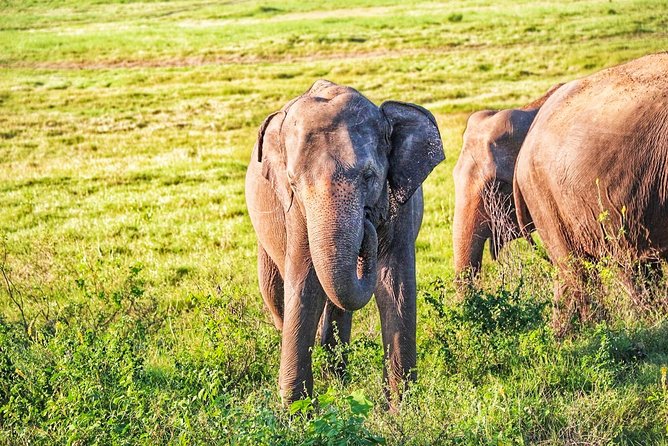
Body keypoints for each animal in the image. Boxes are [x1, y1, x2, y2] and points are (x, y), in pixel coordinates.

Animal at [245, 80, 444, 406]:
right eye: (293, 182)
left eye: (369, 176)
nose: (367, 224)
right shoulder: (296, 212)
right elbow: (305, 281)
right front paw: (296, 411)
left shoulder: (402, 202)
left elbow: (395, 284)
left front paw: (401, 408)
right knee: (274, 289)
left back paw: (336, 377)